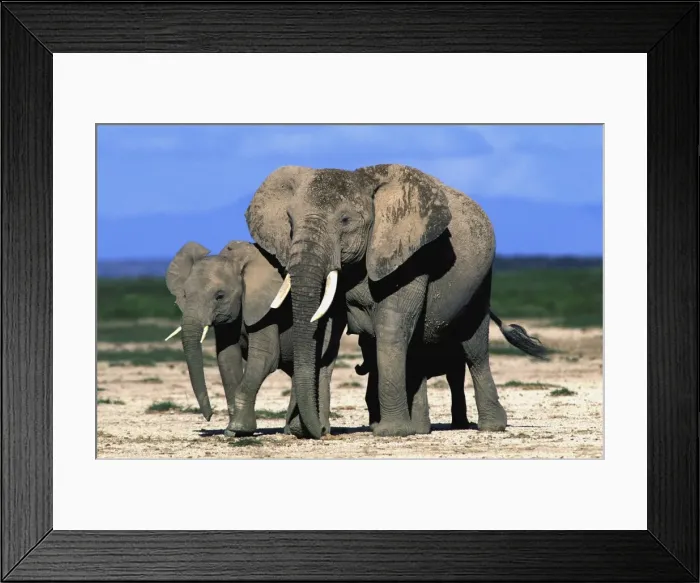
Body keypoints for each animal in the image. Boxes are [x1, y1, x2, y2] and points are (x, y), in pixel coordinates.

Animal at [164, 239, 344, 437]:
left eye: (219, 296)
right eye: (185, 294)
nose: (209, 416)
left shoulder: (266, 309)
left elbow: (265, 357)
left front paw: (238, 428)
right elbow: (227, 357)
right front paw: (233, 430)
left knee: (320, 367)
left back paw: (313, 430)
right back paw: (292, 430)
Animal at [245, 163, 548, 439]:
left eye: (345, 221)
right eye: (289, 223)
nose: (319, 431)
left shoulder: (410, 256)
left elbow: (391, 327)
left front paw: (390, 432)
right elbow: (326, 328)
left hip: (481, 283)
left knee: (474, 350)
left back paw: (490, 426)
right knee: (416, 351)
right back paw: (421, 429)